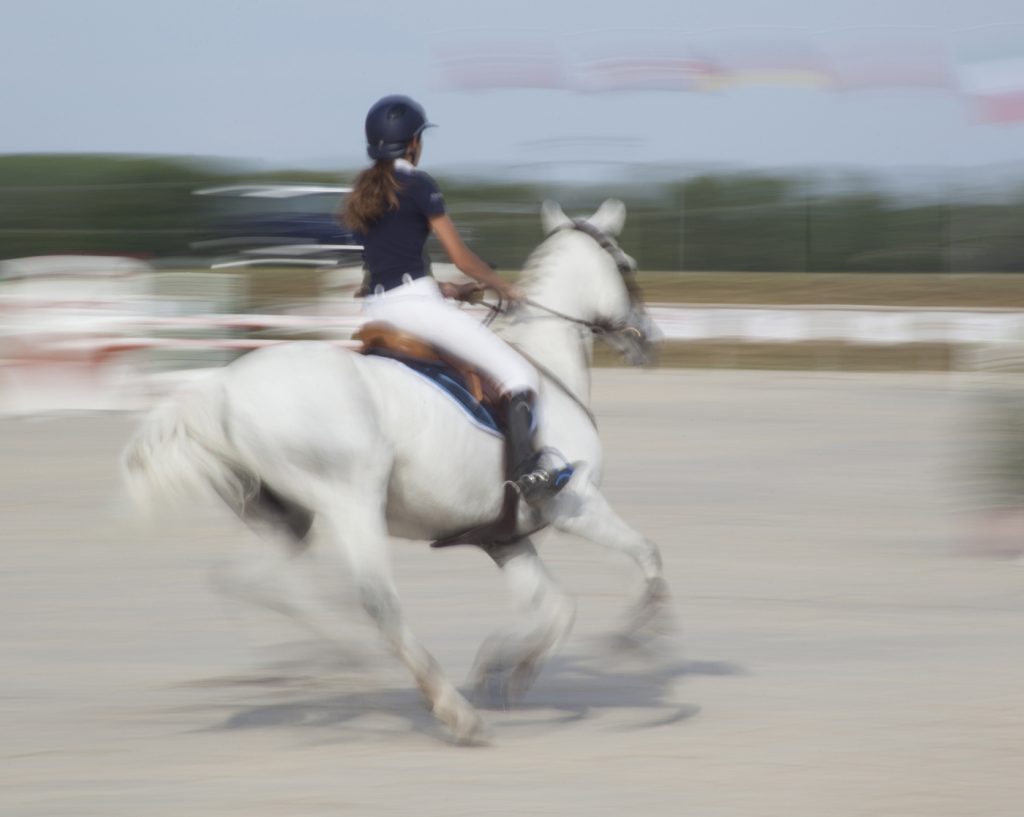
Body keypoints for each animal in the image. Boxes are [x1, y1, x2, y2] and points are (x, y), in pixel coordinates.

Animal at [123, 196, 671, 741]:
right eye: (627, 266)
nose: (650, 339)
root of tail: (223, 390)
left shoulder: (504, 539)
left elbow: (557, 608)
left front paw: (505, 669)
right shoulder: (576, 505)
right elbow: (646, 555)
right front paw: (639, 636)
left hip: (286, 516)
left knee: (249, 582)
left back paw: (335, 664)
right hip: (351, 499)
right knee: (374, 599)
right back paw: (445, 706)